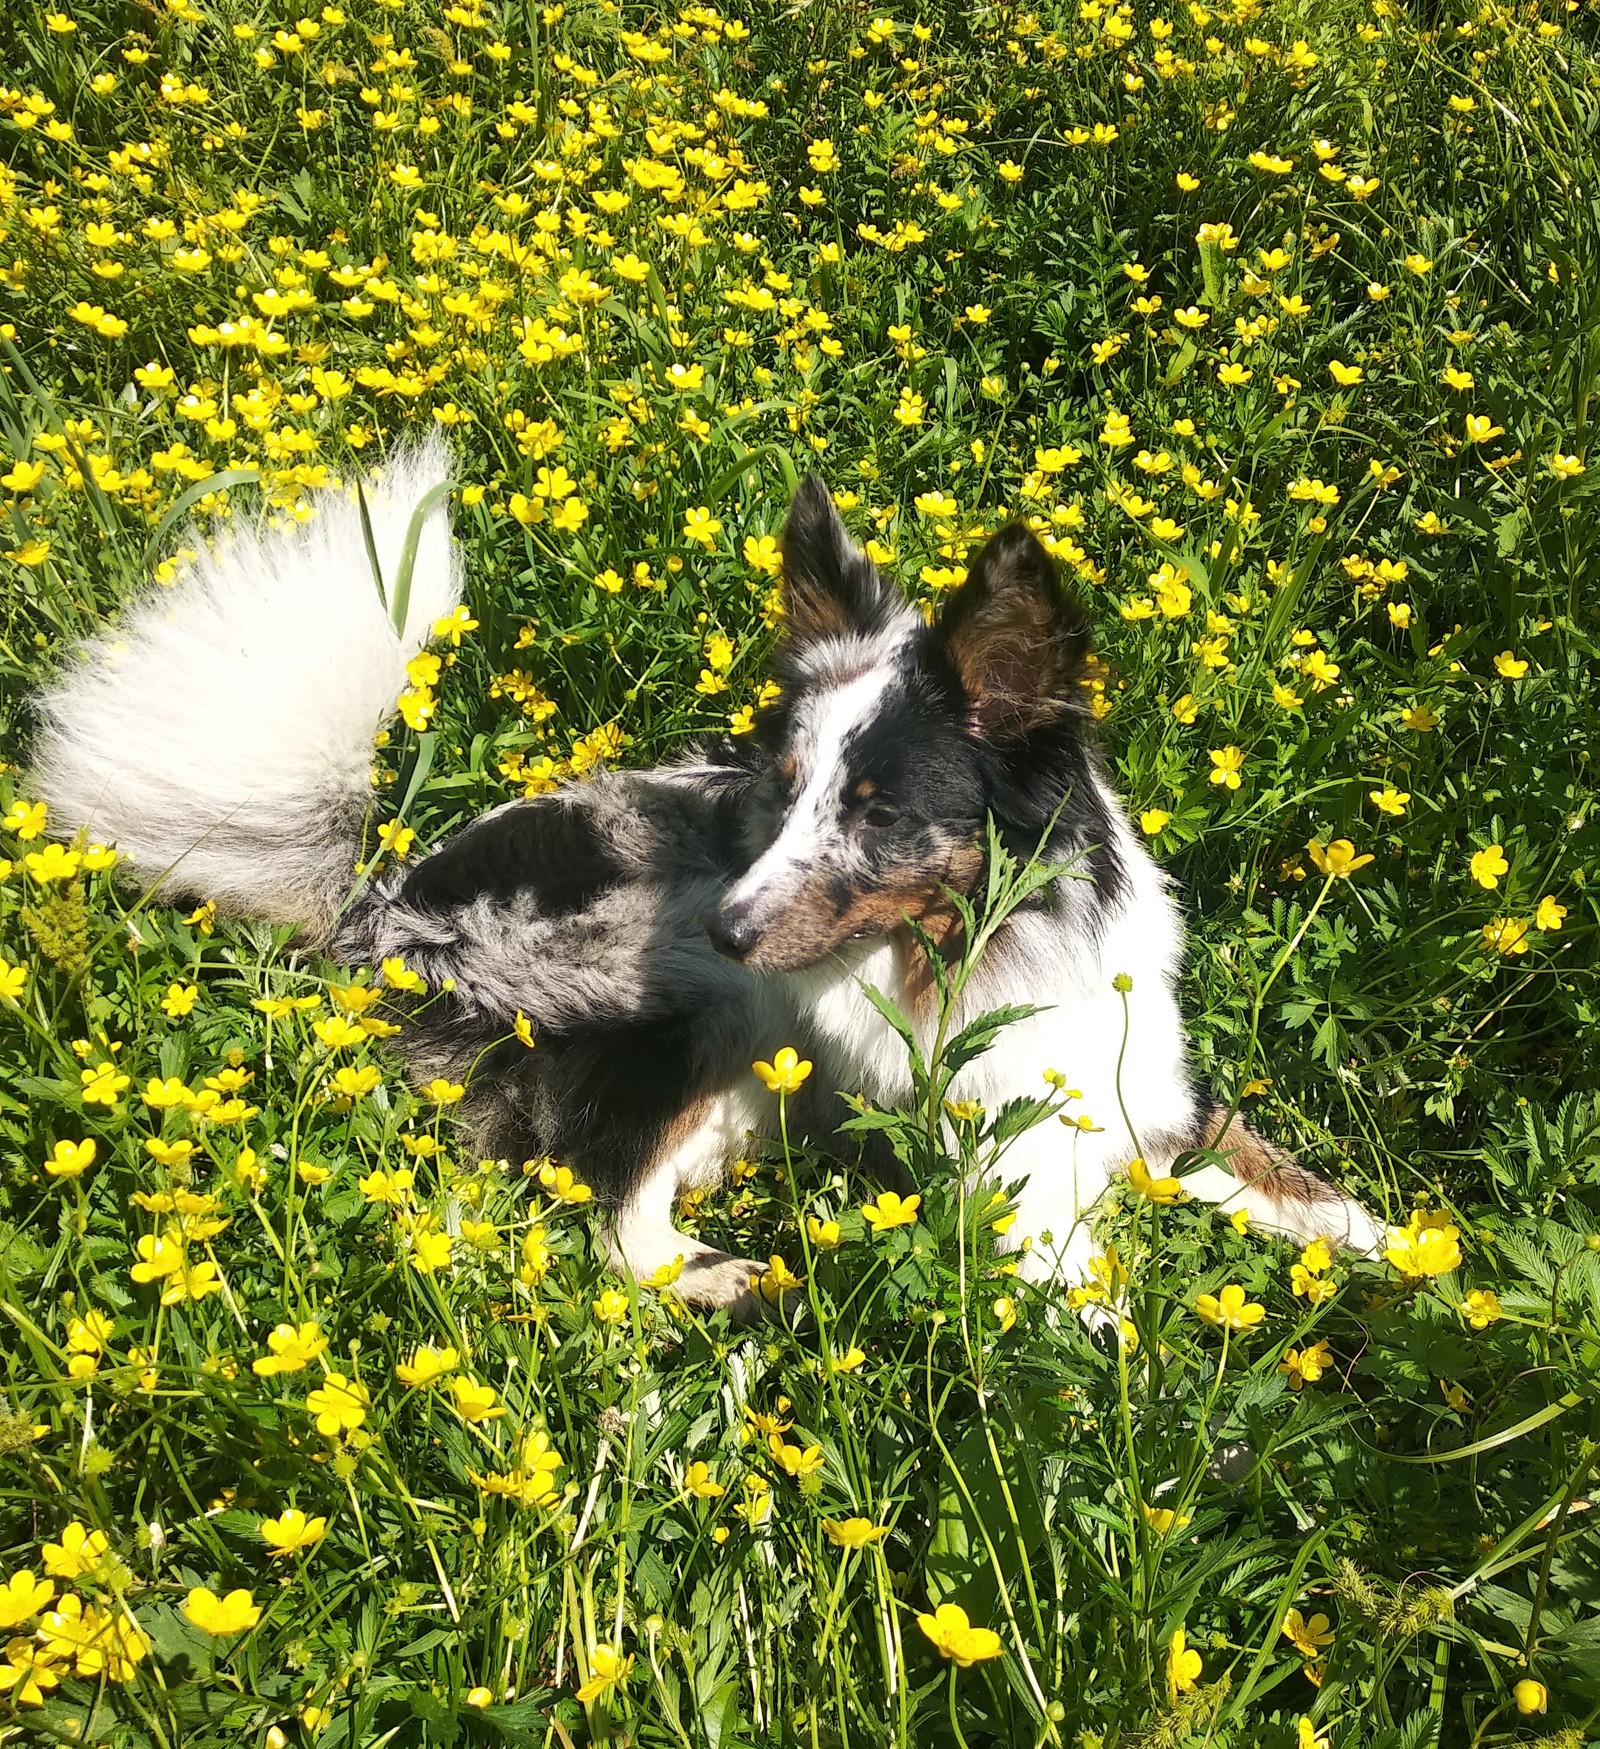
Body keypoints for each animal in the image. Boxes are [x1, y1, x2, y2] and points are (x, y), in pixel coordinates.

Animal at [34, 437, 1391, 1315]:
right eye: (781, 791)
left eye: (877, 811)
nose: (736, 924)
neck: (973, 952)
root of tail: (375, 906)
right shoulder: (1002, 1183)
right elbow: (1078, 1314)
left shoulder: (1141, 1101)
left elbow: (1291, 1180)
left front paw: (1404, 1260)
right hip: (686, 1012)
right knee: (610, 1223)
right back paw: (742, 1281)